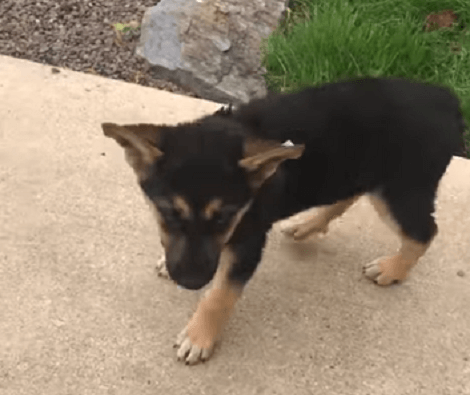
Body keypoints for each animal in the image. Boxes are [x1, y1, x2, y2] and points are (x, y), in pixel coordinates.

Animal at [101, 76, 464, 366]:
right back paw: (308, 226)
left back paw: (391, 269)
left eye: (225, 218)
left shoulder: (249, 241)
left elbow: (221, 295)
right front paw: (168, 262)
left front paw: (199, 337)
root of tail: (448, 101)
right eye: (166, 212)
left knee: (424, 233)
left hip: (400, 190)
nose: (191, 282)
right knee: (349, 196)